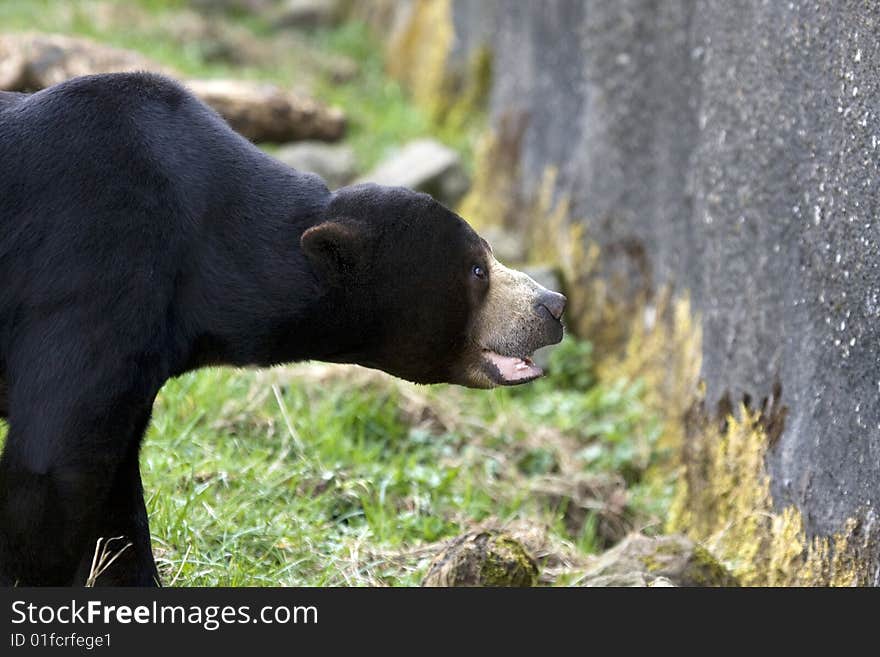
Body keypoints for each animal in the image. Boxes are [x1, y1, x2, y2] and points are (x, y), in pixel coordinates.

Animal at [0, 72, 564, 584]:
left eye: (486, 255)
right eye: (477, 269)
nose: (553, 307)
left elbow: (112, 491)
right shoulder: (99, 267)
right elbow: (56, 459)